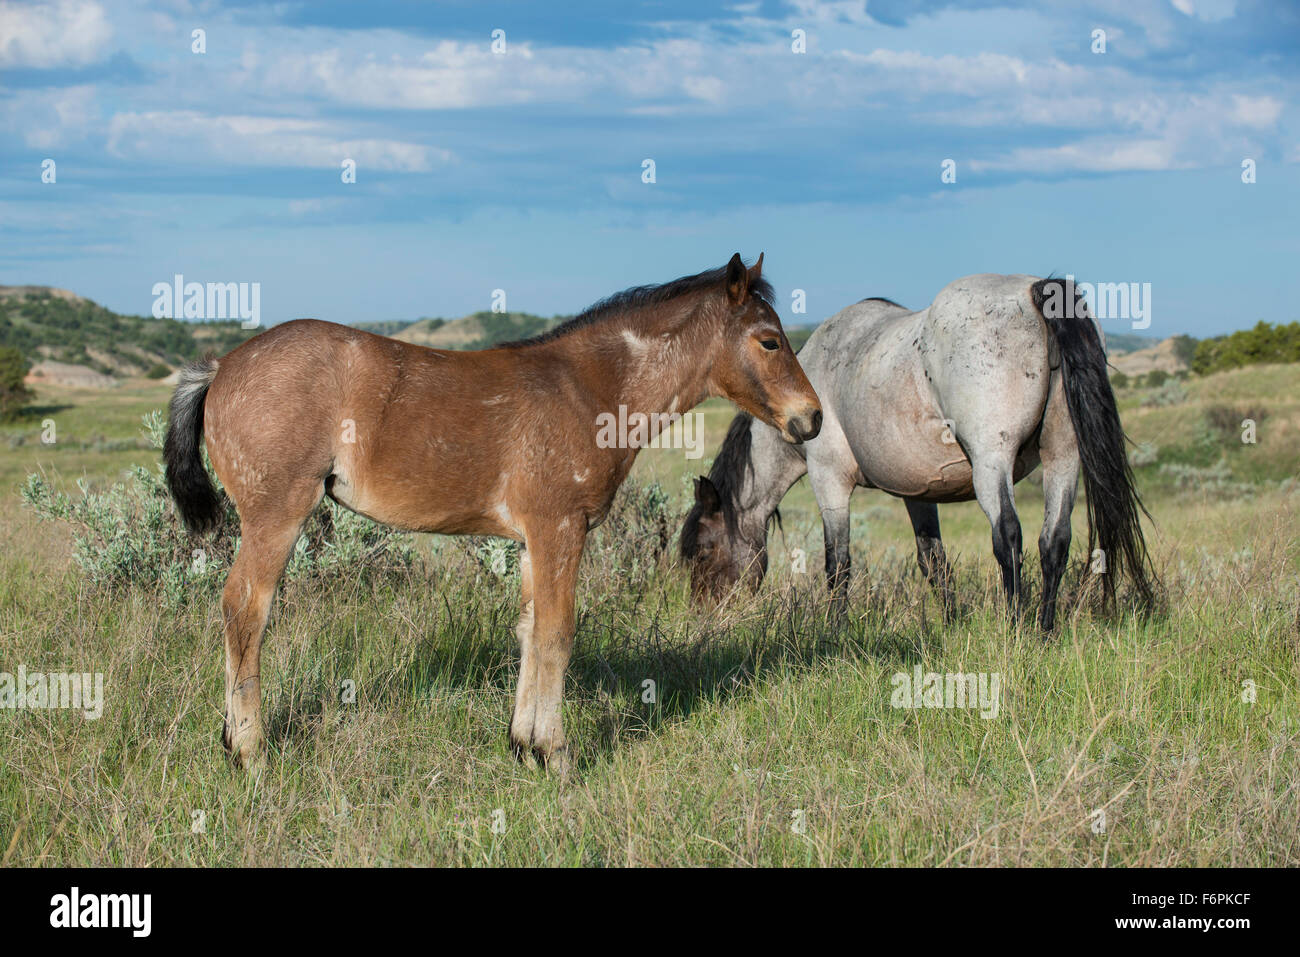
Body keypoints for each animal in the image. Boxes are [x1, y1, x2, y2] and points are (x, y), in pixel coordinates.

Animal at [165, 252, 821, 769]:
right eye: (769, 340)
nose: (811, 419)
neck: (591, 389)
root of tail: (221, 367)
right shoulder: (560, 527)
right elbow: (558, 633)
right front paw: (557, 756)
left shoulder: (534, 539)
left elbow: (530, 630)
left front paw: (524, 746)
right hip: (277, 513)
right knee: (245, 609)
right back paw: (249, 752)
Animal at [686, 274, 1154, 634]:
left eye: (702, 551)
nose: (706, 614)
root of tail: (1037, 292)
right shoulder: (919, 493)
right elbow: (934, 562)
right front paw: (951, 623)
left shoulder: (828, 480)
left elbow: (838, 564)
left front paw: (834, 630)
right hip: (1063, 458)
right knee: (1053, 541)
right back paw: (1044, 631)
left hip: (992, 462)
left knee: (1009, 537)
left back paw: (1016, 628)